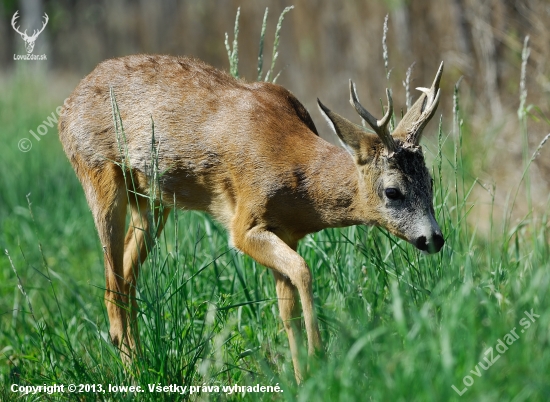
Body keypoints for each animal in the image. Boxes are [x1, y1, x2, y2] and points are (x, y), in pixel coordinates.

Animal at [59, 55, 448, 382]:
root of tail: (66, 106)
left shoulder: (287, 232)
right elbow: (304, 272)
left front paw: (302, 380)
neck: (300, 181)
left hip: (151, 201)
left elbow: (287, 309)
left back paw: (140, 365)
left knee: (126, 277)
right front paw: (319, 359)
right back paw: (132, 371)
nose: (434, 238)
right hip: (98, 175)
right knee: (111, 285)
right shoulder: (244, 225)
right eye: (393, 191)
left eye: (430, 182)